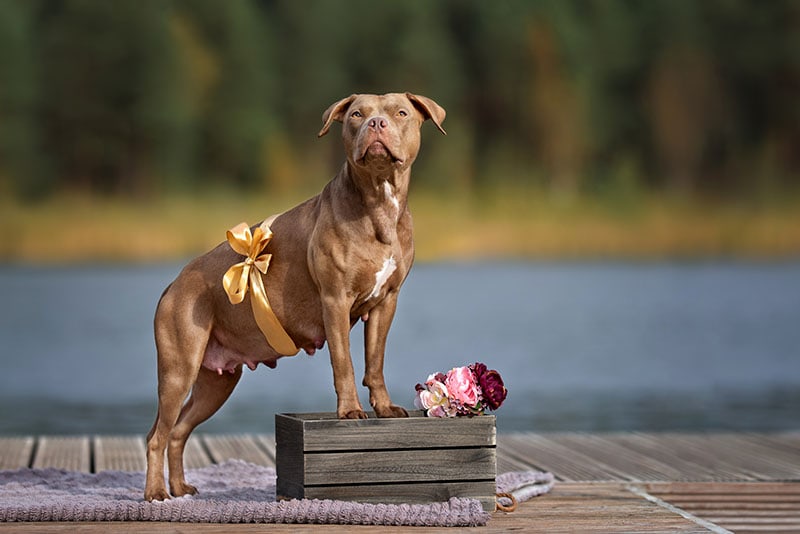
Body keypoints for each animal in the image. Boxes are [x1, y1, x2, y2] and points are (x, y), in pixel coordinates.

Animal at [142, 93, 444, 502]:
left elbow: (375, 361)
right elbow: (345, 363)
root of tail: (174, 283)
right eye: (356, 115)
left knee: (177, 431)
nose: (376, 124)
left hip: (215, 384)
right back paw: (157, 492)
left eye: (400, 113)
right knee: (156, 435)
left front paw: (383, 407)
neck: (379, 201)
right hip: (178, 370)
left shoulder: (386, 302)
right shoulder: (335, 301)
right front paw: (351, 412)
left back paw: (179, 487)